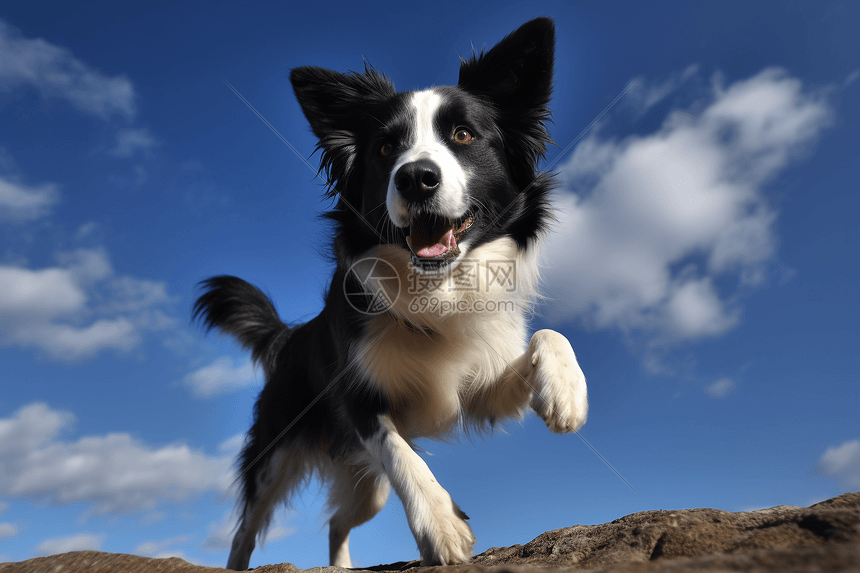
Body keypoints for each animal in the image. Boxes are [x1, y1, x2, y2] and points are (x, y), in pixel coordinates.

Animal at [194, 15, 584, 568]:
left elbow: (548, 336)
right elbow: (400, 454)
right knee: (245, 528)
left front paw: (566, 393)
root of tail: (292, 337)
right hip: (278, 453)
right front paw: (441, 525)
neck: (435, 288)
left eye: (463, 134)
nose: (416, 177)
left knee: (337, 521)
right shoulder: (358, 399)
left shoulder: (483, 391)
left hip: (367, 489)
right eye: (384, 148)